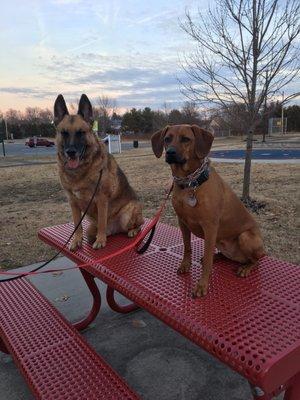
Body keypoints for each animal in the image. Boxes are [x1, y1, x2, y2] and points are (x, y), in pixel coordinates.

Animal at [53, 94, 144, 250]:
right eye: (64, 133)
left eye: (81, 133)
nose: (71, 152)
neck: (80, 172)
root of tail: (114, 230)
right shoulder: (73, 203)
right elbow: (77, 226)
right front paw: (76, 241)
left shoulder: (101, 199)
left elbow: (102, 222)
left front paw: (100, 240)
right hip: (91, 228)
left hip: (127, 215)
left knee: (139, 225)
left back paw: (131, 231)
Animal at [152, 125, 264, 296]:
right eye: (167, 139)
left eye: (186, 139)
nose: (170, 152)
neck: (190, 183)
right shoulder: (182, 222)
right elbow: (187, 247)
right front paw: (185, 265)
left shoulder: (210, 227)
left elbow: (206, 261)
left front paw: (202, 285)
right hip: (219, 241)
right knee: (223, 256)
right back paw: (218, 257)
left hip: (245, 237)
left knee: (256, 260)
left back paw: (246, 268)